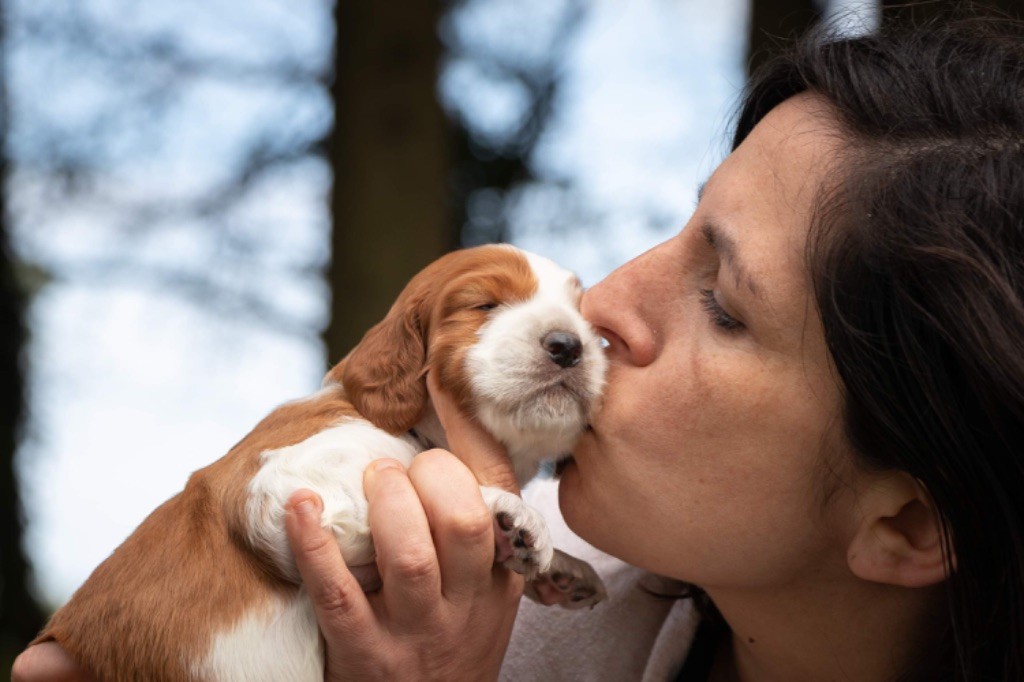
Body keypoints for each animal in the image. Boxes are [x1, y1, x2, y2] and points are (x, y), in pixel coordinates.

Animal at [37, 244, 606, 679]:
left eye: (587, 321)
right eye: (484, 304)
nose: (568, 345)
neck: (418, 427)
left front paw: (562, 568)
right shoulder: (291, 483)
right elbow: (415, 480)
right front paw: (511, 515)